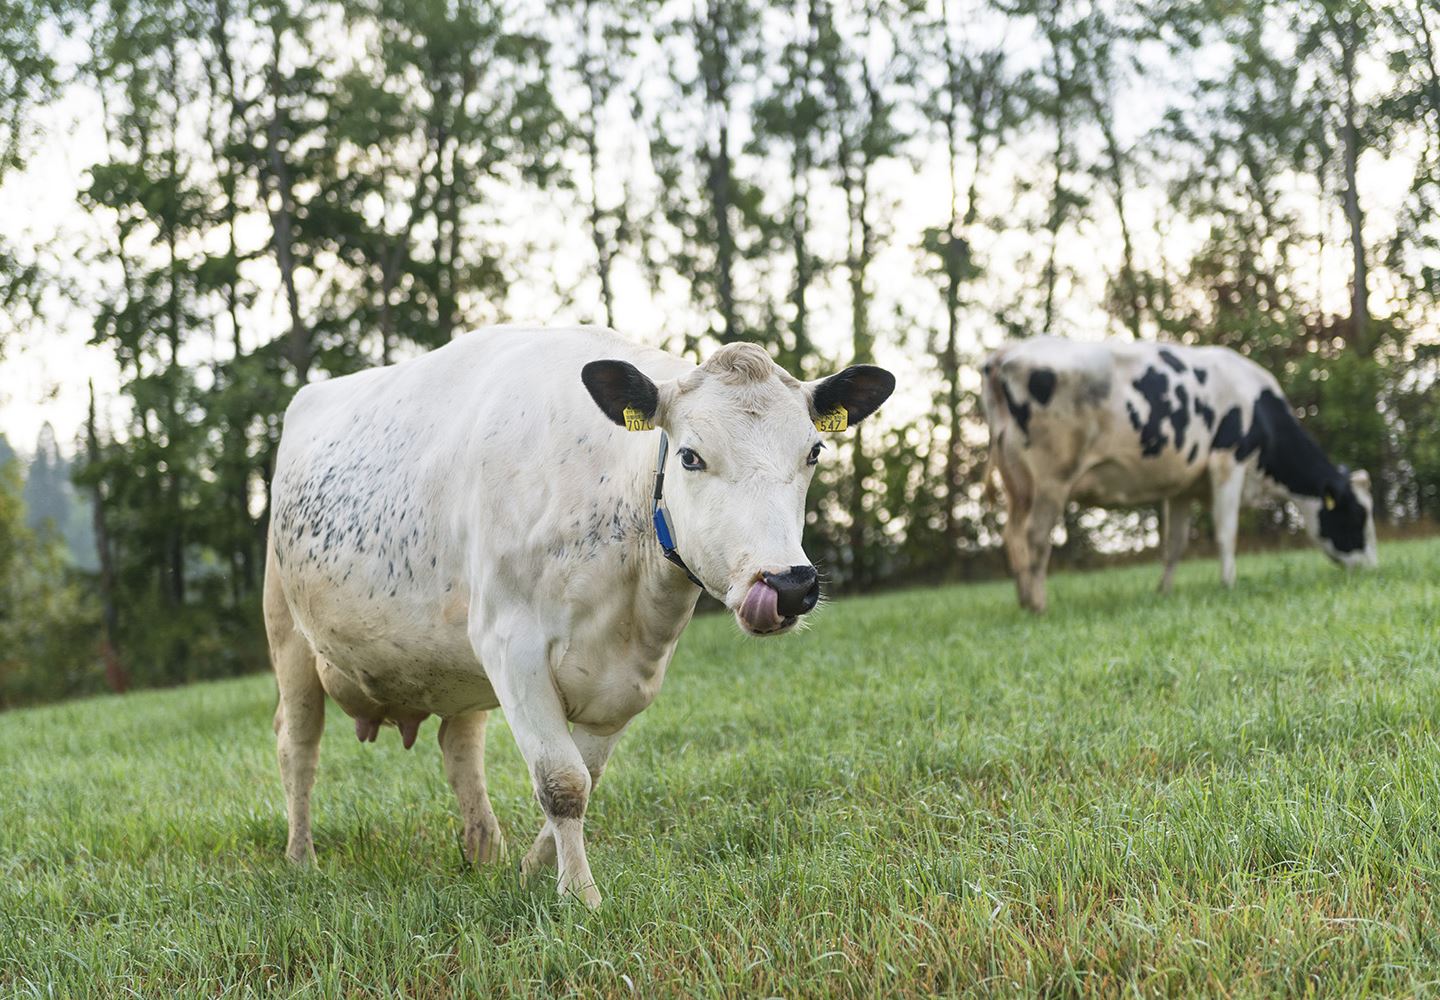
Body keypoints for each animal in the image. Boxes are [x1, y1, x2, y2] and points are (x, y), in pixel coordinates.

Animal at [259, 328, 887, 910]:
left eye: (813, 453)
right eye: (690, 456)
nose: (788, 584)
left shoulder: (630, 678)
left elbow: (587, 776)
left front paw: (530, 873)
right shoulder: (511, 646)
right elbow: (561, 782)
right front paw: (580, 896)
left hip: (452, 665)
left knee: (460, 748)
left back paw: (485, 852)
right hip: (288, 637)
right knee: (298, 747)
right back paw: (301, 860)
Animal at [984, 338, 1376, 610]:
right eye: (1357, 514)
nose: (1372, 567)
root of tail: (1005, 353)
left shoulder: (1183, 487)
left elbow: (1174, 545)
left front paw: (1164, 591)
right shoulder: (1228, 462)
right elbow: (1226, 533)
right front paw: (1229, 584)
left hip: (1018, 484)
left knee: (1012, 535)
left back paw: (1023, 600)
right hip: (1052, 478)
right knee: (1036, 536)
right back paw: (1039, 605)